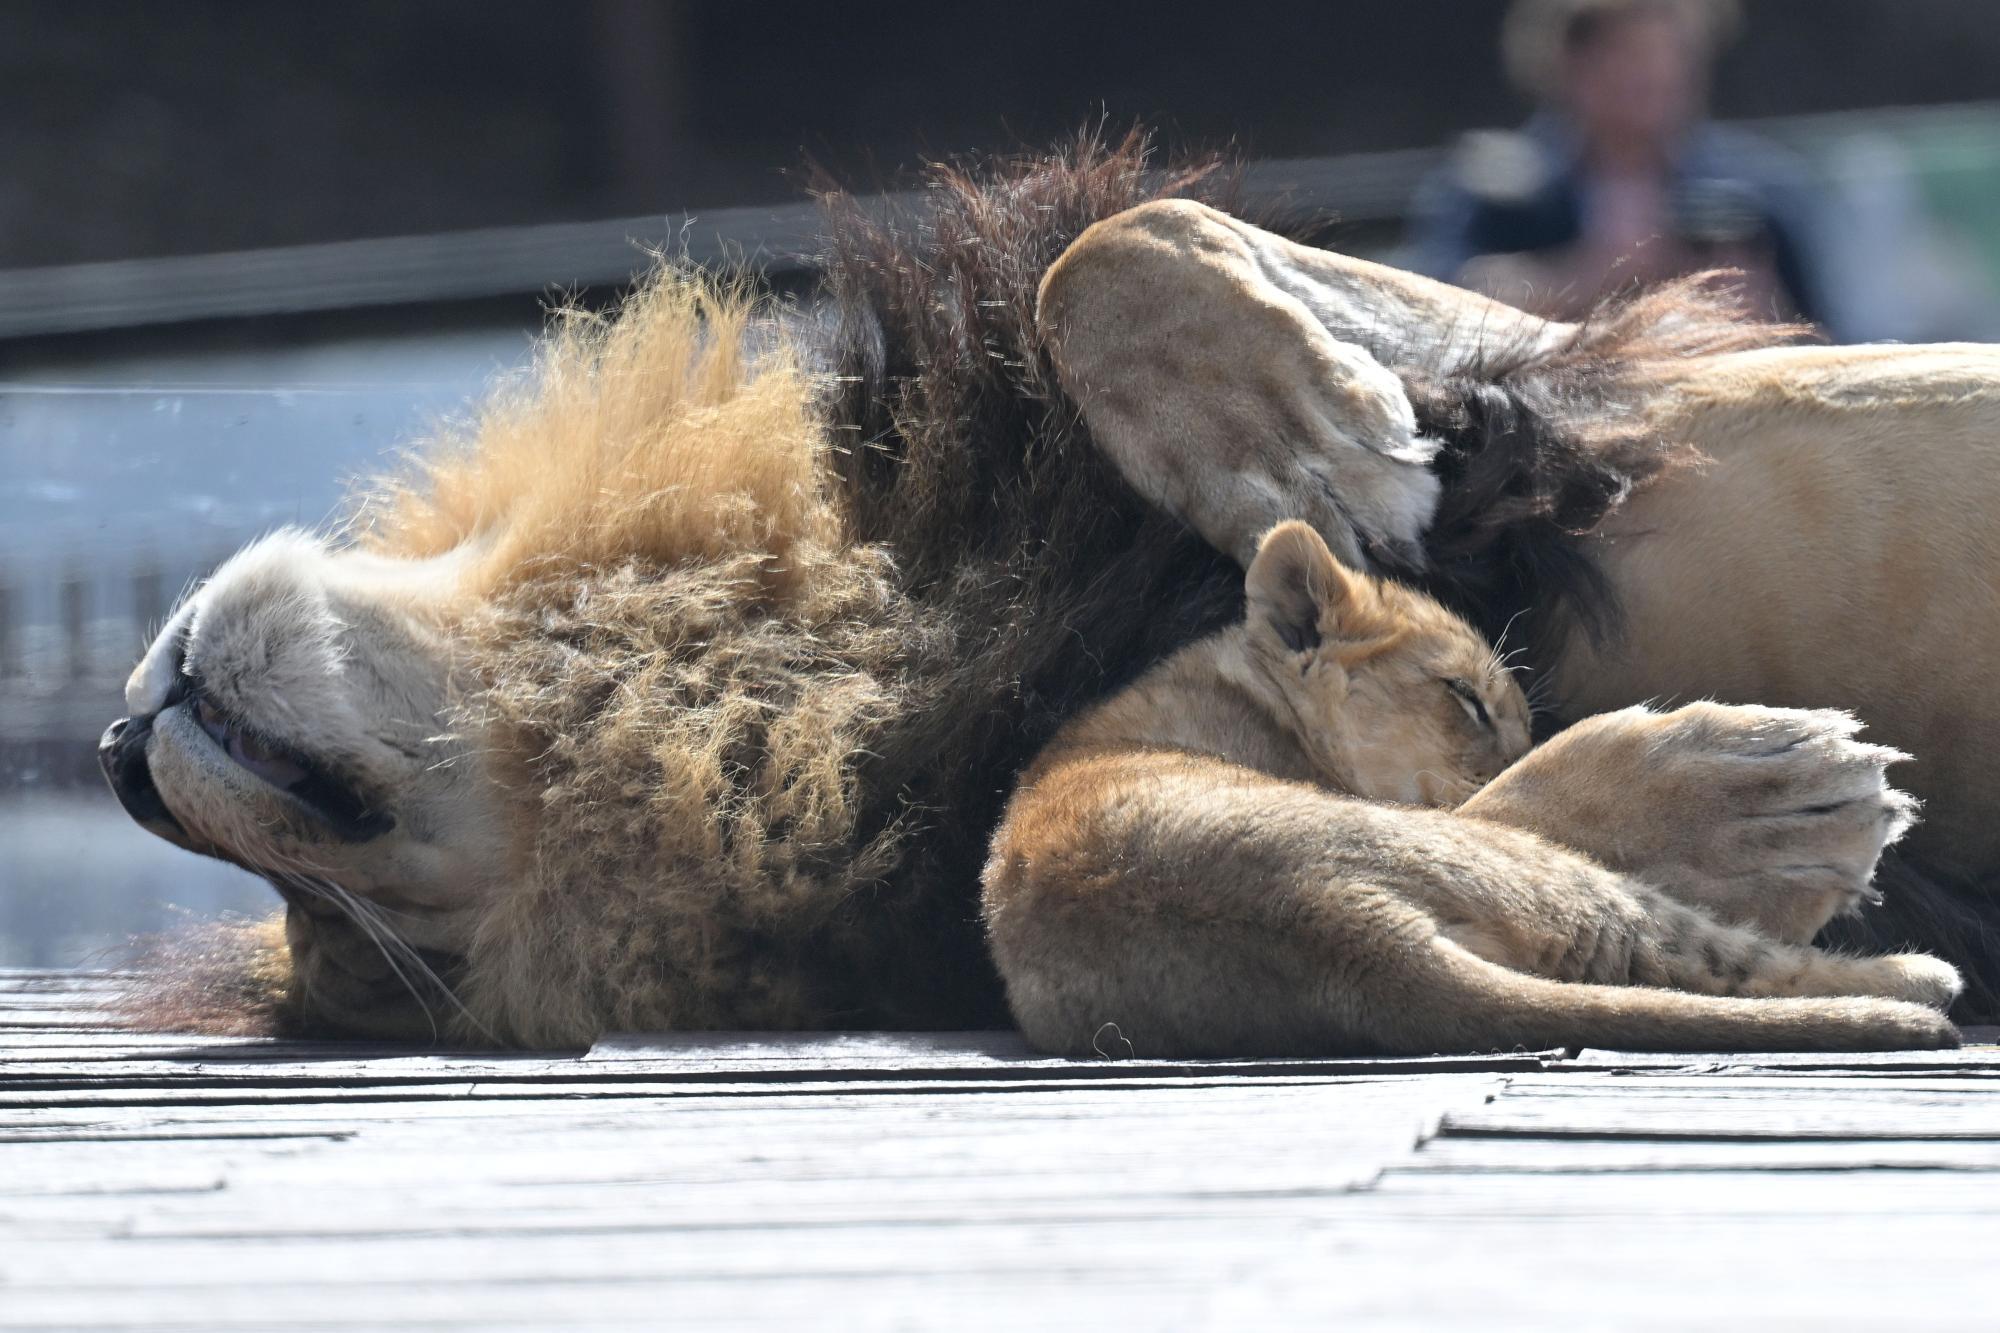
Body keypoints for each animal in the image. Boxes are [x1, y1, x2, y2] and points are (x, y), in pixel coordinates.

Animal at [985, 519, 1957, 1056]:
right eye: (1465, 699)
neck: (1237, 688)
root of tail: (1341, 927)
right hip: (1531, 865)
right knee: (1702, 960)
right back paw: (1917, 978)